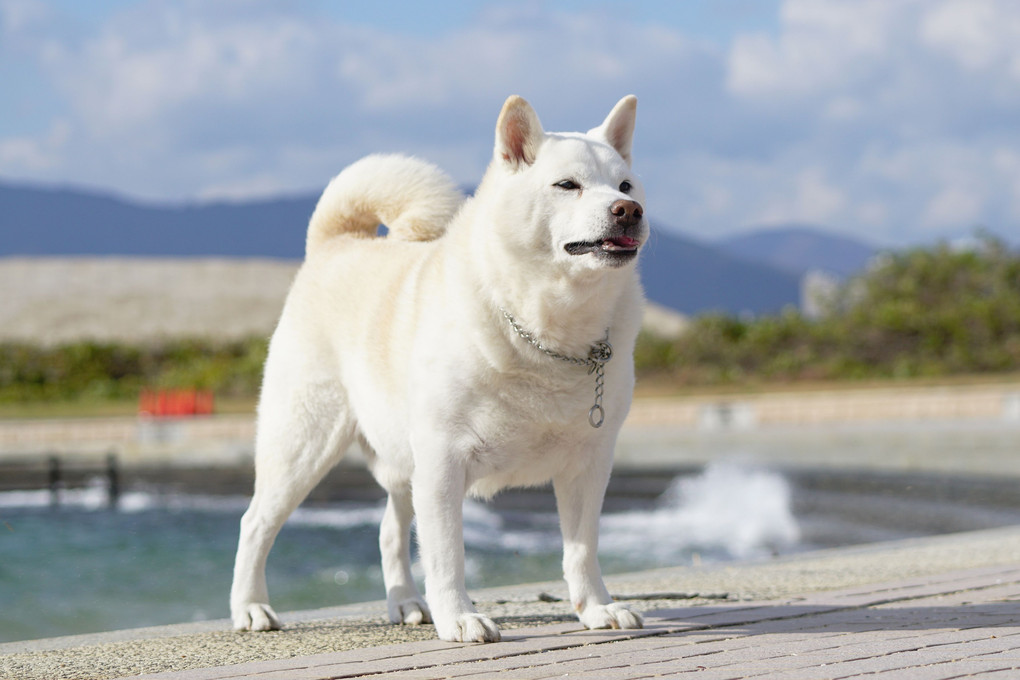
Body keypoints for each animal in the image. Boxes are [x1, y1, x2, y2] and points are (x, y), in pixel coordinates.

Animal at [231, 95, 644, 644]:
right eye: (567, 185)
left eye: (626, 186)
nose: (629, 211)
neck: (549, 334)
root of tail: (336, 243)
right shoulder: (444, 460)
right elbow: (448, 554)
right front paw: (460, 618)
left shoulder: (589, 465)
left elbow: (582, 549)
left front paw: (597, 609)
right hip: (302, 447)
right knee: (255, 523)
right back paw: (250, 608)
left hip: (400, 461)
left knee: (388, 530)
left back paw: (405, 602)